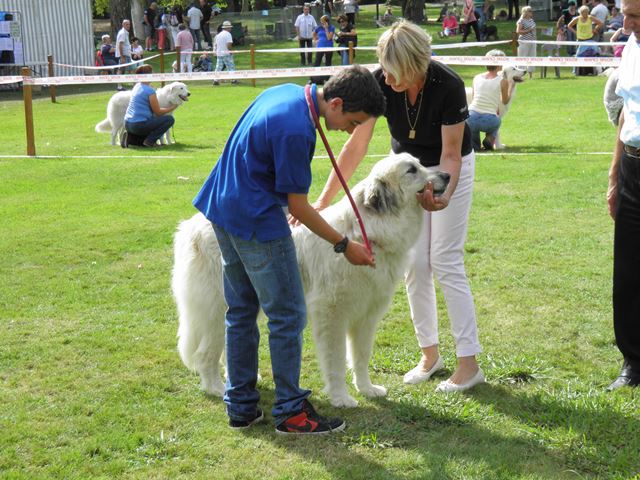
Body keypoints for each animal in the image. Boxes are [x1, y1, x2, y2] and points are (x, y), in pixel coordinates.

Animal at [170, 152, 450, 406]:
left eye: (421, 163)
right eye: (411, 170)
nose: (447, 175)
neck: (366, 233)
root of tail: (189, 227)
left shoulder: (367, 316)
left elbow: (360, 356)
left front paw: (367, 389)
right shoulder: (331, 313)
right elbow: (335, 359)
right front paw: (340, 398)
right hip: (217, 308)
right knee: (206, 353)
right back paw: (216, 388)